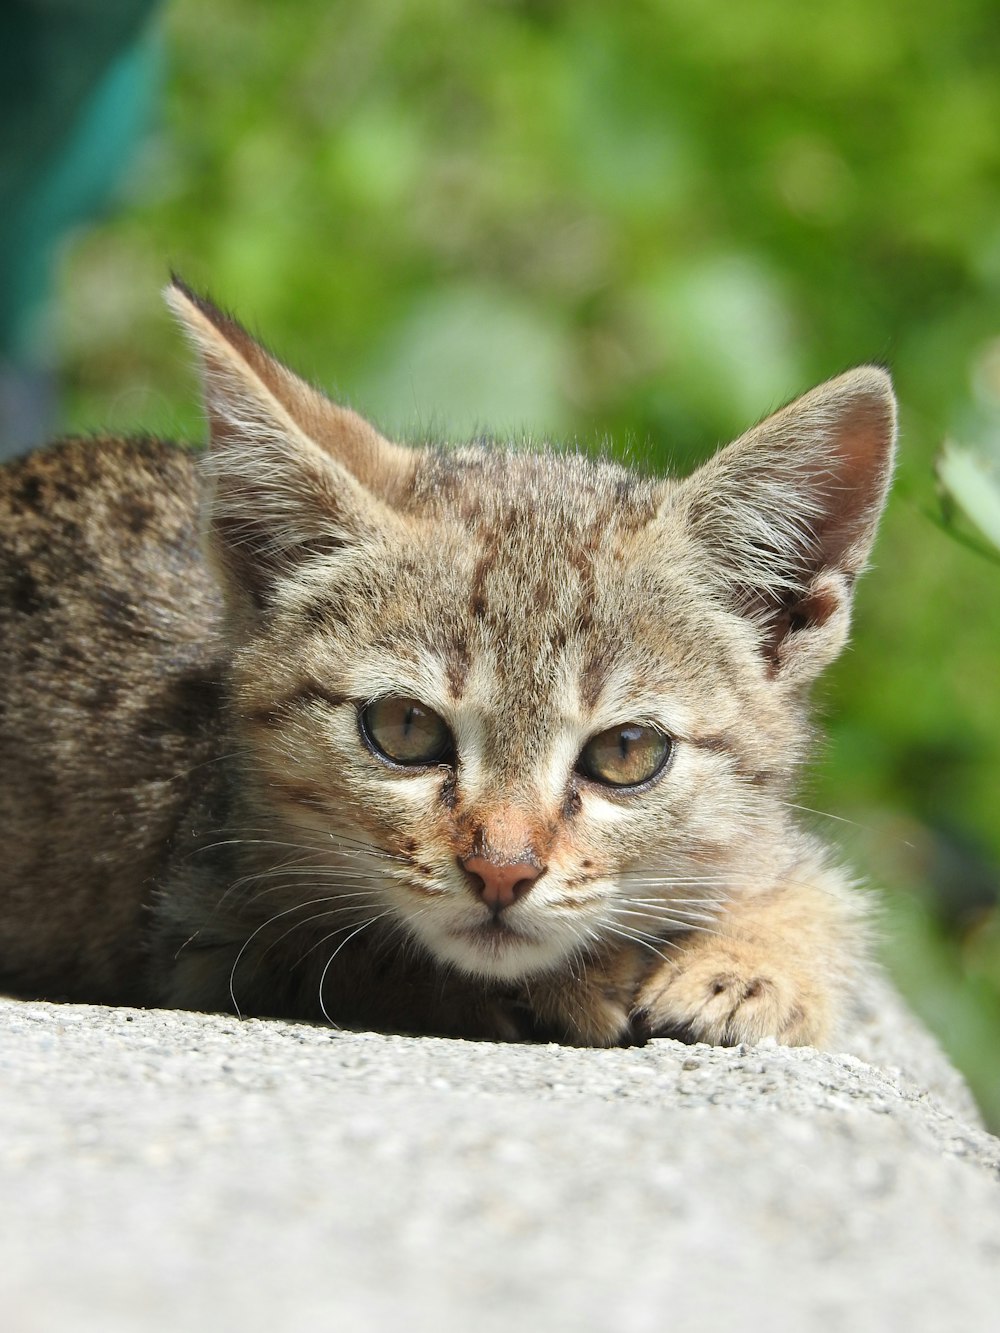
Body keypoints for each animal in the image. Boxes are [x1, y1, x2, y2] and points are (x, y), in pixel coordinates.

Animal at [0, 283, 896, 1050]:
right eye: (403, 728)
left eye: (627, 751)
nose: (501, 872)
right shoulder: (203, 926)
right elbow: (365, 949)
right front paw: (576, 980)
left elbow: (823, 894)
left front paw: (754, 961)